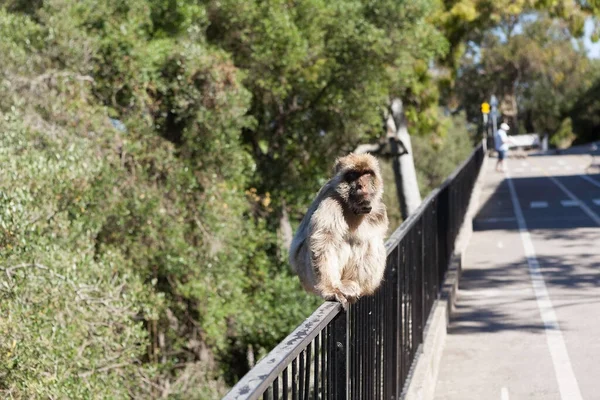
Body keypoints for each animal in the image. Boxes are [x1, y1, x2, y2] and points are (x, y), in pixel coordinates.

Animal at [290, 152, 390, 308]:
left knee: (371, 241)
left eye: (366, 173)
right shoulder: (332, 203)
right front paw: (331, 289)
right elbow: (324, 240)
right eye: (353, 175)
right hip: (307, 273)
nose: (361, 185)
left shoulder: (379, 209)